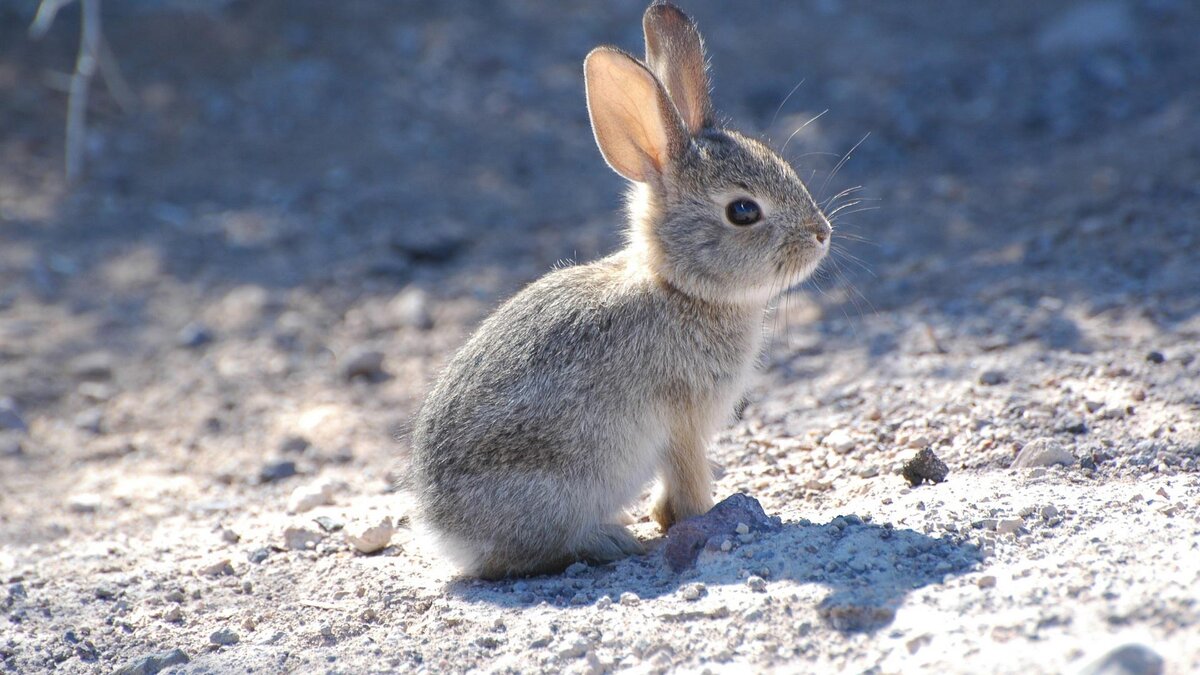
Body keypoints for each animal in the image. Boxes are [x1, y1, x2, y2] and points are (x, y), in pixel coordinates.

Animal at [408, 1, 830, 578]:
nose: (822, 234)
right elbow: (691, 480)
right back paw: (610, 540)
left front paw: (665, 516)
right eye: (743, 211)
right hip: (560, 482)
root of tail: (442, 530)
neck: (680, 289)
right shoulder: (683, 421)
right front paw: (707, 517)